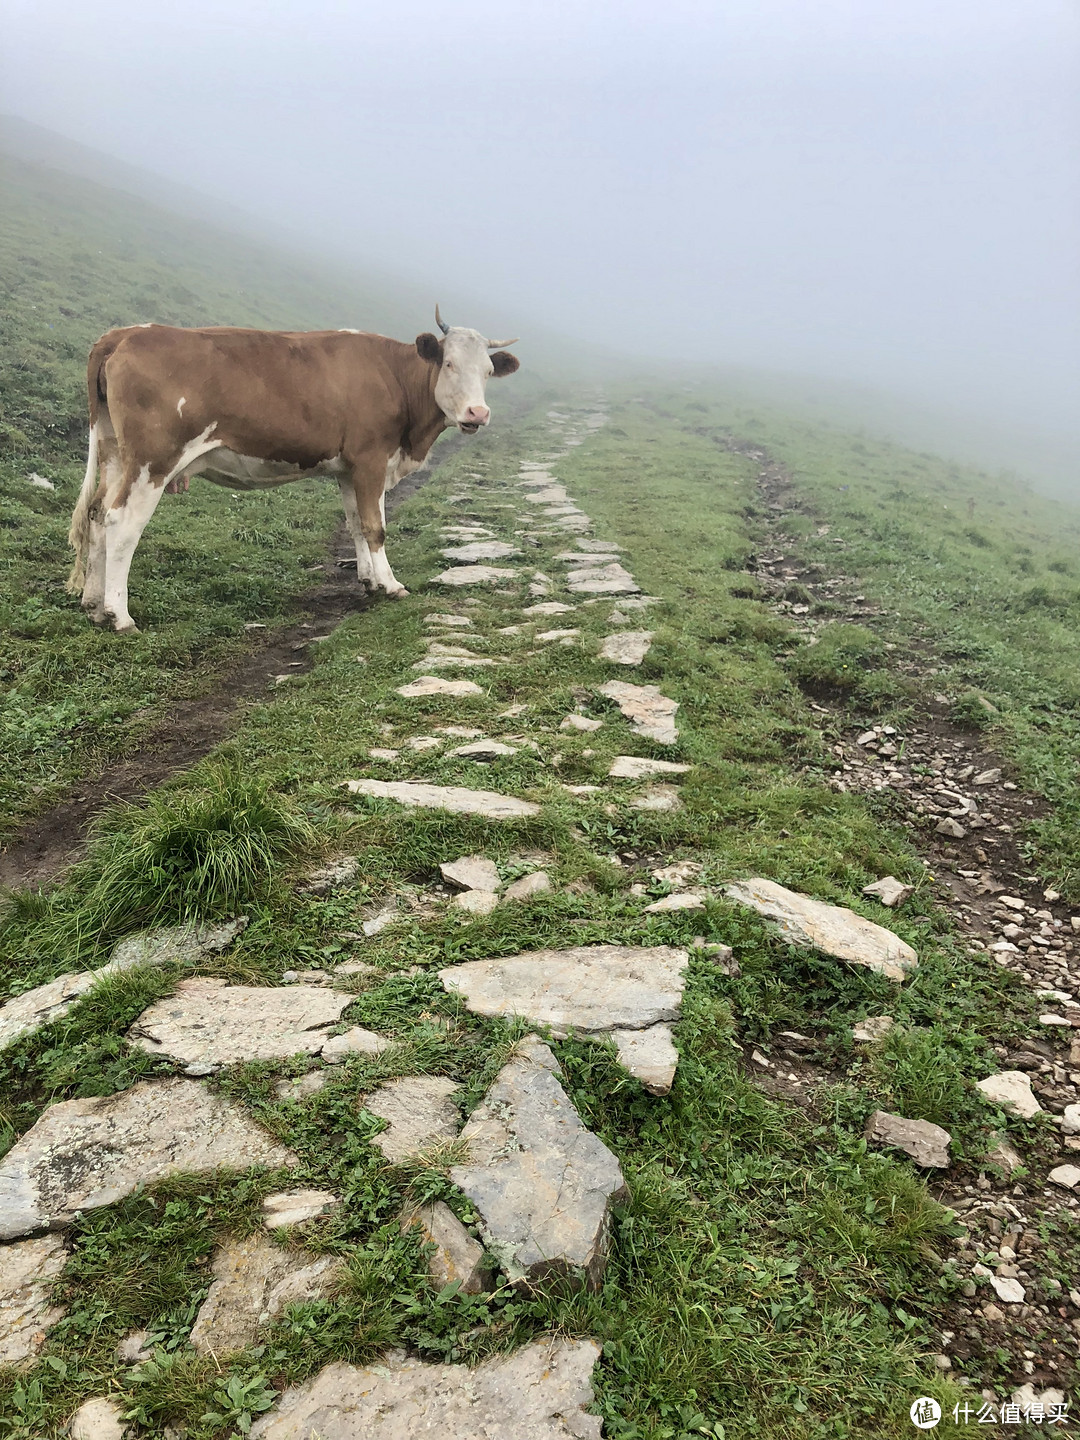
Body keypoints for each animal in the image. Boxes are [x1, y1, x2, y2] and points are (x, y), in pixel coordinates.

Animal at [65, 309, 521, 630]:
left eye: (488, 371)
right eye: (449, 364)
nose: (478, 413)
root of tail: (126, 333)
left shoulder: (348, 468)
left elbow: (357, 524)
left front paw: (369, 580)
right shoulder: (371, 458)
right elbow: (377, 527)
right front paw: (391, 585)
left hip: (114, 452)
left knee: (97, 516)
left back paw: (93, 606)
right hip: (152, 460)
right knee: (122, 523)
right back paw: (120, 616)